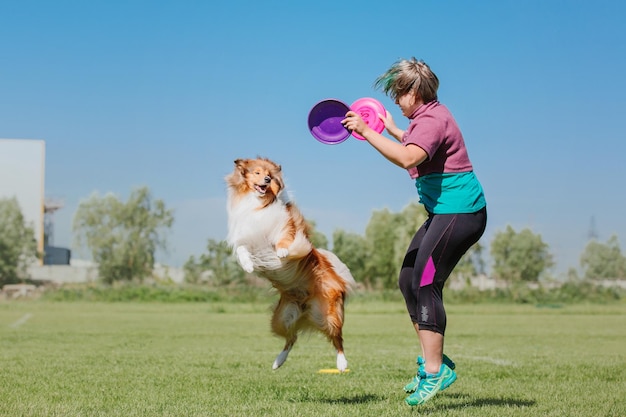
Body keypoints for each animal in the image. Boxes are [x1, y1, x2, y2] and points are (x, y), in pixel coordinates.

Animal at [224, 157, 354, 370]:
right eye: (257, 172)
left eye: (269, 174)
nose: (267, 180)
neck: (258, 204)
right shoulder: (246, 236)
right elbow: (243, 249)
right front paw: (248, 265)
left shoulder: (285, 226)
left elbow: (285, 241)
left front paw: (283, 253)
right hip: (282, 317)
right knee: (291, 338)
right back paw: (278, 361)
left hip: (328, 315)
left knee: (337, 339)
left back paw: (342, 363)